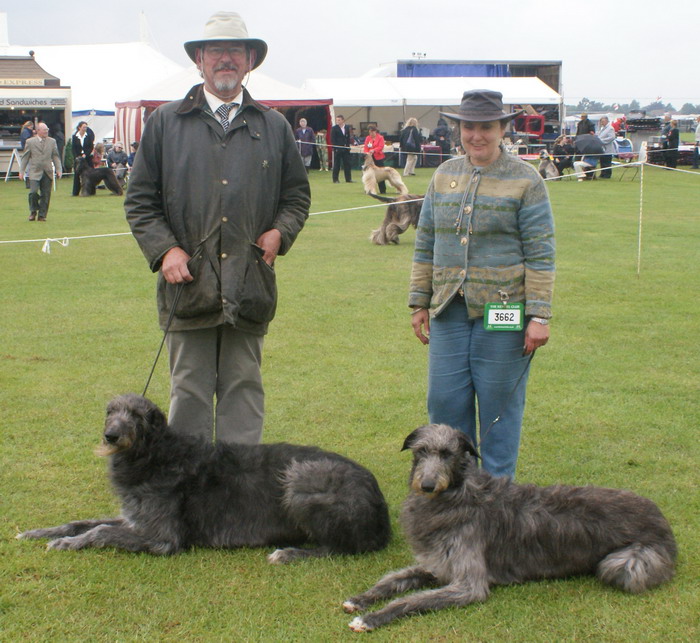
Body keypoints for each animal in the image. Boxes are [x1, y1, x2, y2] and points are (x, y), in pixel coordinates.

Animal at [344, 426, 680, 632]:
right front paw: (361, 599)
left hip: (626, 562)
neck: (457, 495)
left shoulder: (468, 584)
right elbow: (394, 580)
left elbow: (412, 600)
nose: (426, 485)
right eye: (420, 451)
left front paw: (373, 618)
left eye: (448, 454)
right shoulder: (438, 563)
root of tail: (661, 516)